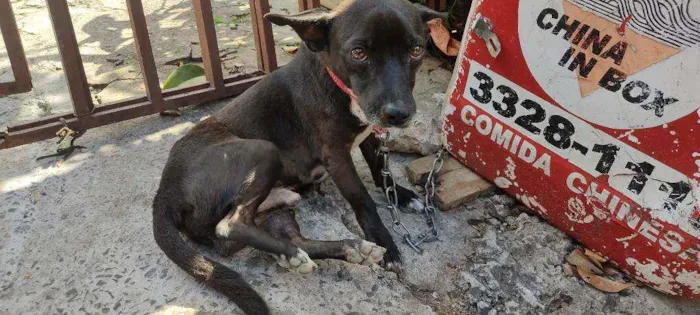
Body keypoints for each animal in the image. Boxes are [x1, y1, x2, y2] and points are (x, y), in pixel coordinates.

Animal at [152, 1, 446, 314]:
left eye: (416, 50)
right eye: (358, 53)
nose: (399, 114)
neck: (337, 84)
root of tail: (164, 191)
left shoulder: (369, 131)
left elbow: (381, 171)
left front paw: (402, 196)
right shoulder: (336, 155)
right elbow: (362, 198)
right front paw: (386, 244)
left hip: (276, 212)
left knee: (278, 235)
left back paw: (335, 250)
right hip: (263, 151)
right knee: (230, 225)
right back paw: (310, 251)